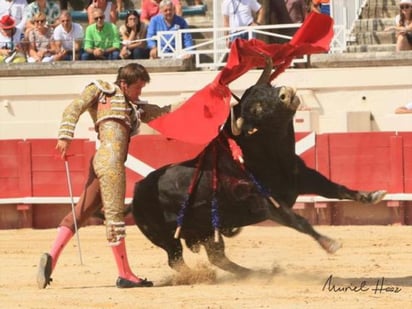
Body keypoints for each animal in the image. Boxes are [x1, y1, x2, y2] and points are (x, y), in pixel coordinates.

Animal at [130, 77, 386, 274]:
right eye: (257, 109)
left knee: (217, 256)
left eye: (268, 88)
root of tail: (136, 192)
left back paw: (252, 273)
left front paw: (371, 195)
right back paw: (196, 276)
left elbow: (338, 189)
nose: (286, 93)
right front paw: (329, 243)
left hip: (206, 231)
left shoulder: (304, 177)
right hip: (165, 236)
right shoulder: (268, 204)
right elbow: (299, 221)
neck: (273, 158)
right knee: (176, 259)